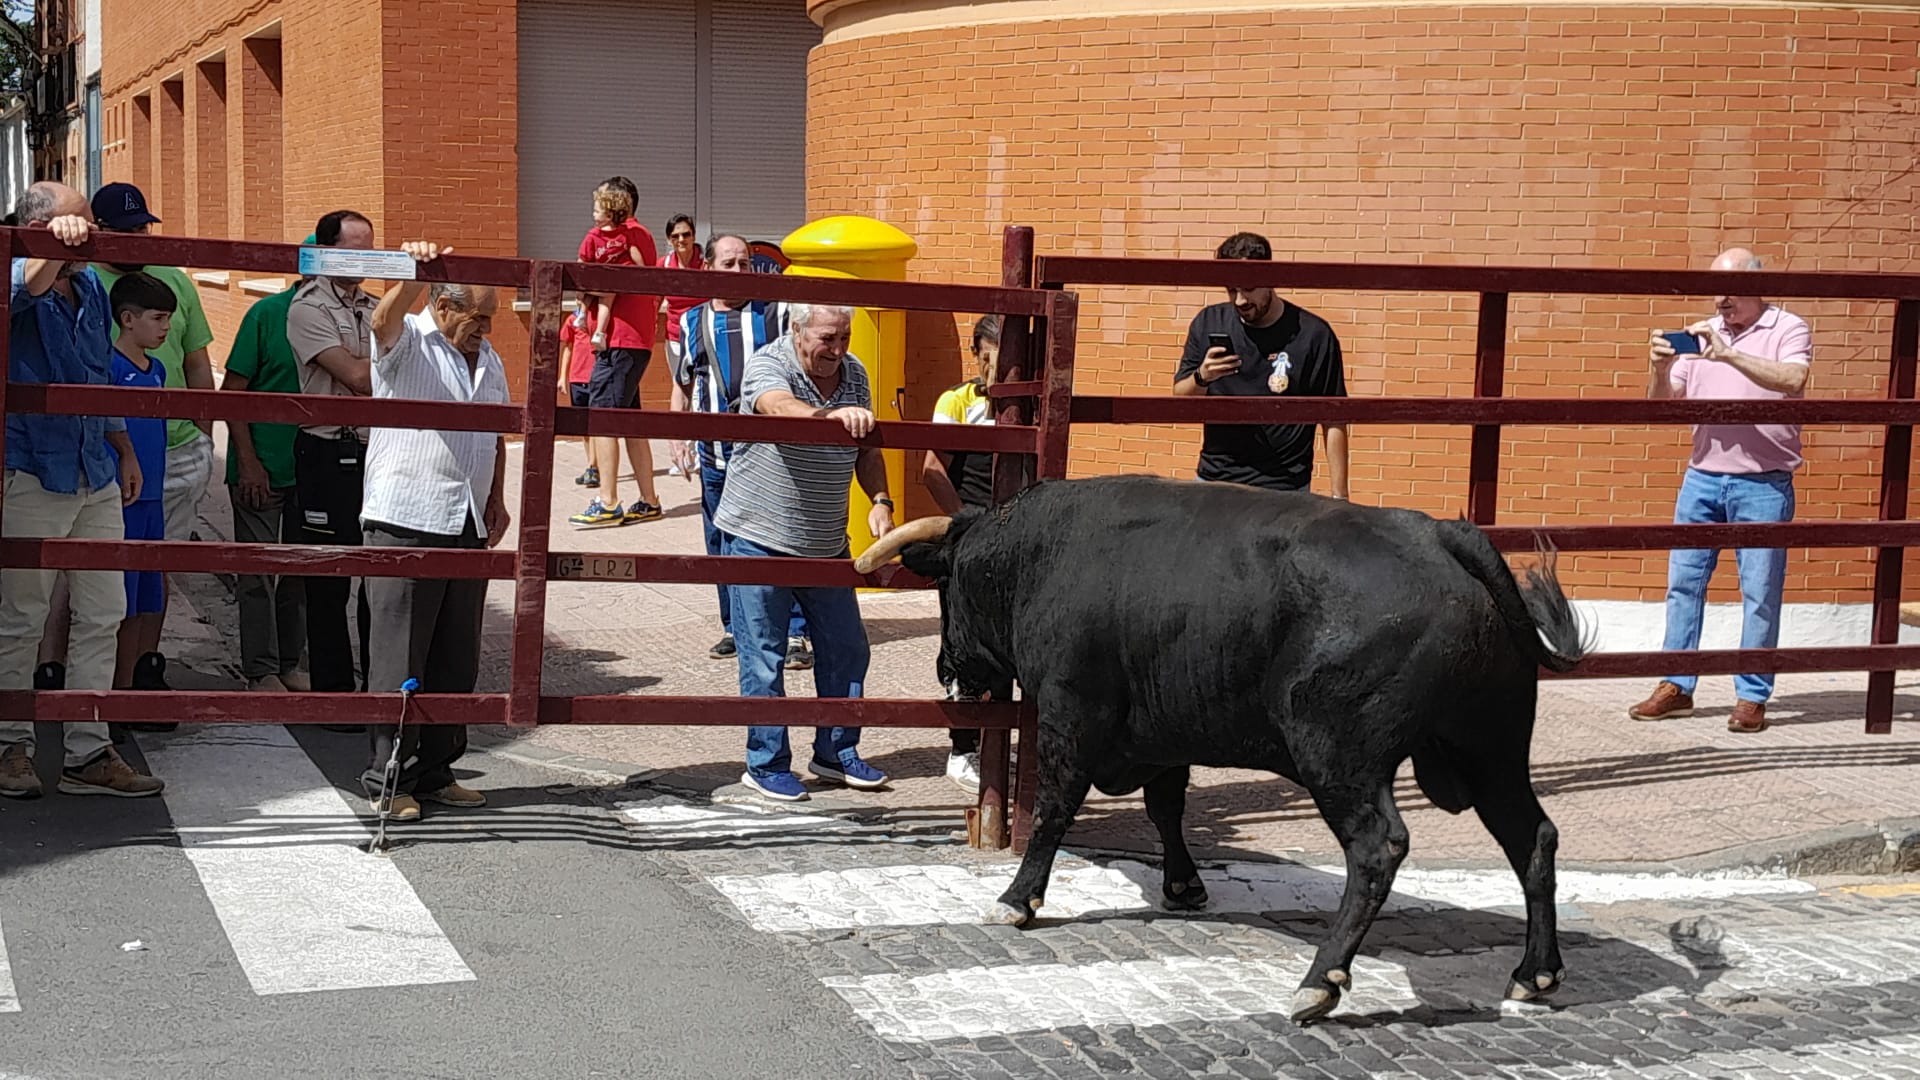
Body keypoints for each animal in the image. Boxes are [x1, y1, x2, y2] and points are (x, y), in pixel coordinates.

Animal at [856, 474, 1589, 1022]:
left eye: (945, 587)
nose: (947, 669)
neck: (1037, 555)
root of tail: (1437, 533)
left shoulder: (1072, 715)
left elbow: (1054, 812)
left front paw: (1018, 898)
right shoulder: (1162, 729)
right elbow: (1166, 805)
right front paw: (1183, 883)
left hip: (1341, 756)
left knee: (1378, 848)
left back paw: (1319, 982)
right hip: (1491, 751)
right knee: (1534, 837)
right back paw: (1536, 973)